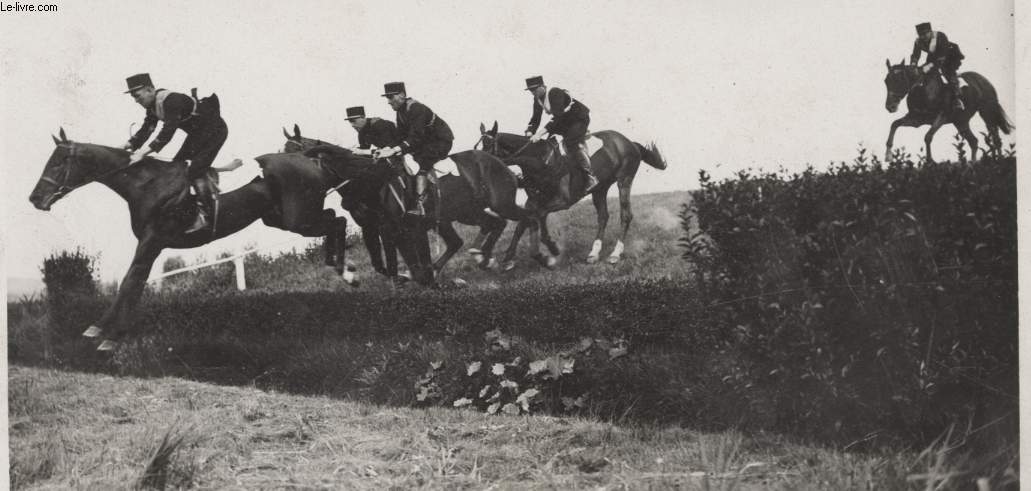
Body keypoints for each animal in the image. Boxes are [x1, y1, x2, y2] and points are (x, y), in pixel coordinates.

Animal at [282, 124, 531, 278]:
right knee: (482, 230)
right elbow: (380, 264)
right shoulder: (372, 227)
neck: (365, 178)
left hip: (501, 204)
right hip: (465, 212)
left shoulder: (395, 227)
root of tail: (501, 163)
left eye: (295, 159)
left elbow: (396, 258)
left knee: (524, 217)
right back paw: (480, 258)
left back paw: (507, 259)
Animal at [476, 121, 668, 268]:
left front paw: (551, 247)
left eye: (487, 148)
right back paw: (594, 253)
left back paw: (615, 253)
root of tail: (629, 142)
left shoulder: (562, 201)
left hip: (624, 180)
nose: (478, 176)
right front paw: (508, 258)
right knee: (603, 216)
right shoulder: (534, 201)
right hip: (600, 189)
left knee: (625, 215)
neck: (541, 163)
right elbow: (523, 223)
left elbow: (537, 217)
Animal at [878, 57, 1014, 160]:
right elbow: (895, 124)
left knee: (995, 138)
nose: (890, 107)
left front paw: (929, 161)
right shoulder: (916, 119)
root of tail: (985, 81)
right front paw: (888, 155)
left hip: (987, 113)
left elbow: (928, 136)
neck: (923, 90)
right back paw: (972, 164)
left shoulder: (943, 116)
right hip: (961, 122)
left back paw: (998, 161)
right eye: (886, 81)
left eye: (900, 80)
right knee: (974, 142)